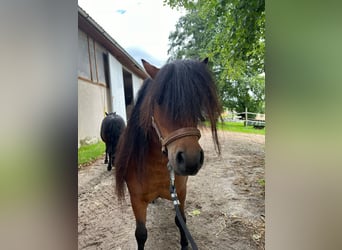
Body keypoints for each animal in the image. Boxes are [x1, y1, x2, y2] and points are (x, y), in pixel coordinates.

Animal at [115, 57, 222, 249]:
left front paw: (185, 244)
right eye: (159, 100)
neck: (157, 167)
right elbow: (141, 233)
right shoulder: (137, 200)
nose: (190, 160)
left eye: (196, 101)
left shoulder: (180, 192)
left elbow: (181, 221)